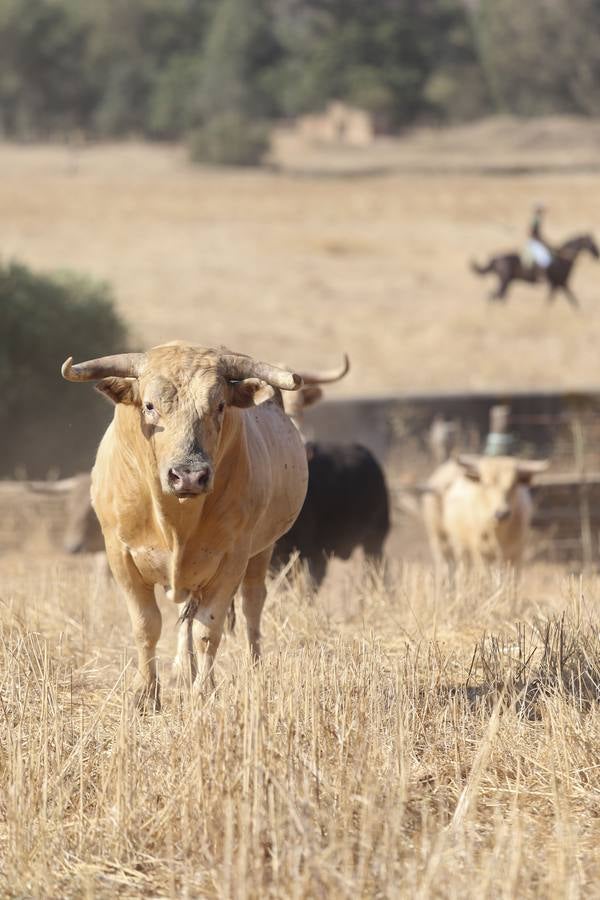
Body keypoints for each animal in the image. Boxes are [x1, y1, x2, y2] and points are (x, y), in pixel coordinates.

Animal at [62, 342, 310, 708]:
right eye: (149, 406)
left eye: (219, 405)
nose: (189, 475)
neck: (175, 520)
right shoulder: (120, 555)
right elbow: (147, 625)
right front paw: (146, 693)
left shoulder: (231, 558)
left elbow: (208, 629)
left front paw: (203, 692)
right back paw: (186, 670)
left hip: (261, 551)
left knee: (251, 605)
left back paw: (252, 671)